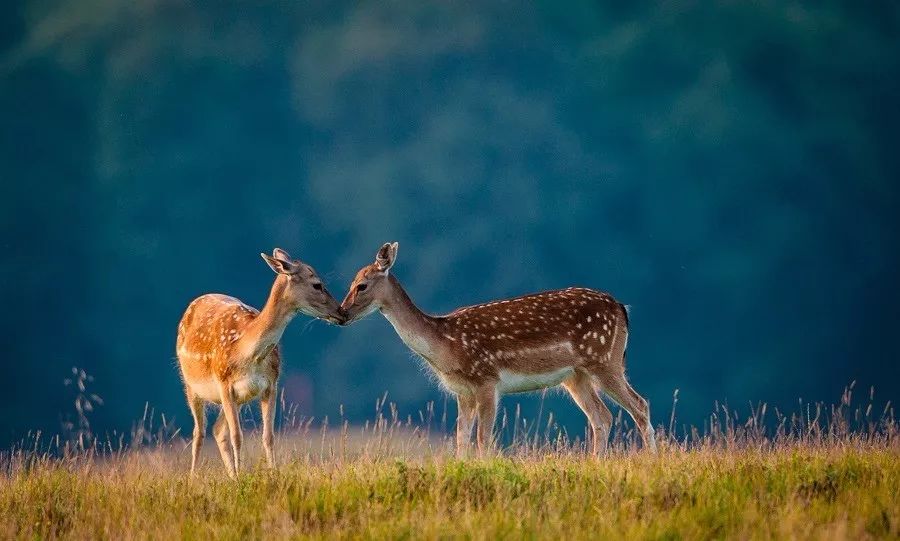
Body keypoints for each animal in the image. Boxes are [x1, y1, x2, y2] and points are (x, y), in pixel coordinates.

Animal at [176, 247, 344, 474]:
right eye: (317, 284)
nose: (341, 312)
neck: (247, 353)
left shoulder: (270, 385)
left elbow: (268, 436)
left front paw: (271, 472)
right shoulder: (224, 383)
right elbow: (237, 436)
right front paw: (242, 476)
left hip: (237, 399)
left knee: (217, 430)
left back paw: (230, 474)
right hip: (191, 385)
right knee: (198, 432)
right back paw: (194, 476)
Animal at [338, 243, 652, 458]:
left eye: (362, 285)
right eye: (350, 282)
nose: (341, 313)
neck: (445, 344)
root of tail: (621, 308)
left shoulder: (487, 380)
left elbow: (483, 439)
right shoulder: (462, 391)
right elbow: (461, 438)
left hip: (604, 359)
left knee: (640, 405)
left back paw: (651, 459)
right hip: (576, 376)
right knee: (603, 417)